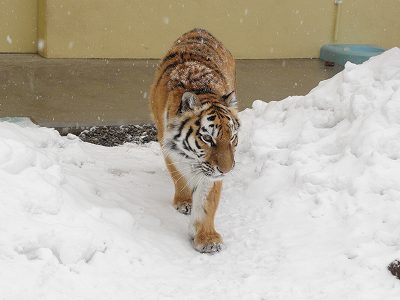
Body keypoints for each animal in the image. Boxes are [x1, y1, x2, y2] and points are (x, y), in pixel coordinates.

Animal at [148, 28, 239, 253]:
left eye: (232, 138)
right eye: (207, 138)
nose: (226, 170)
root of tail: (199, 29)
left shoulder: (210, 171)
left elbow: (206, 201)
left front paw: (207, 239)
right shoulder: (170, 149)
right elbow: (179, 177)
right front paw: (184, 202)